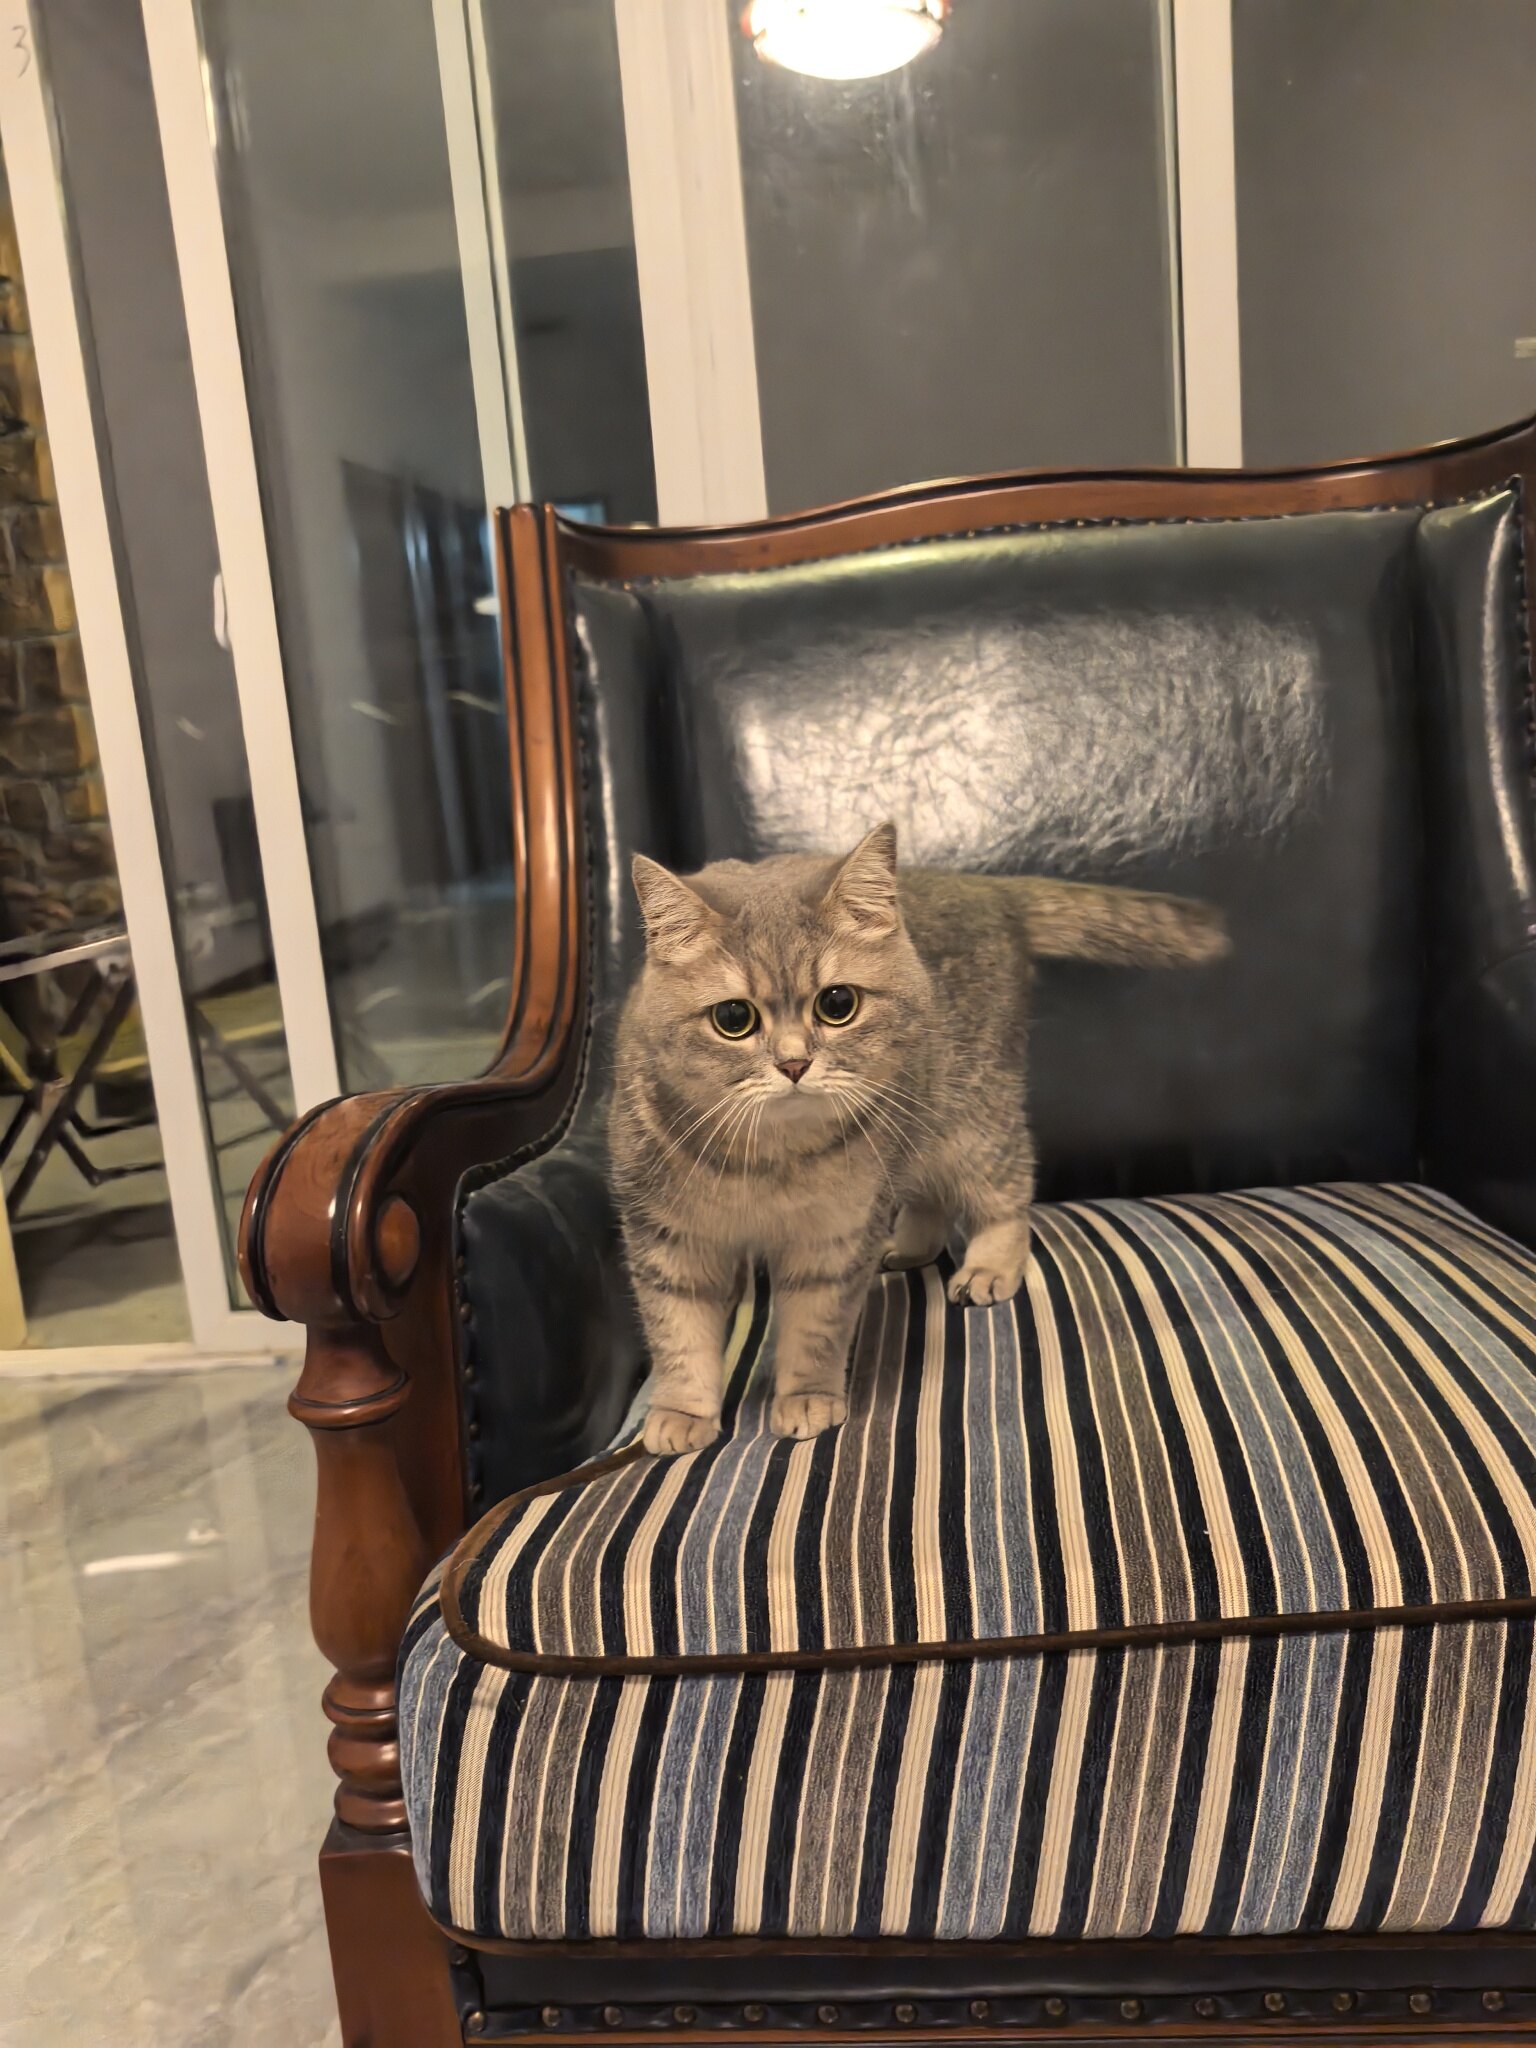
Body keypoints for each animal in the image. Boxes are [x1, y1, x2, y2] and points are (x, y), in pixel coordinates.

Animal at [610, 822, 1227, 1454]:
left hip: (972, 1121)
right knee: (929, 1196)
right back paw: (911, 1246)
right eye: (734, 1018)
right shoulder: (670, 1243)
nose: (794, 1064)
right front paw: (682, 1411)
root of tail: (986, 889)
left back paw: (989, 1265)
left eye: (838, 1003)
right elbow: (680, 1338)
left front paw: (807, 1395)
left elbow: (813, 1329)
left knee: (1007, 1190)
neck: (770, 1158)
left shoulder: (834, 1240)